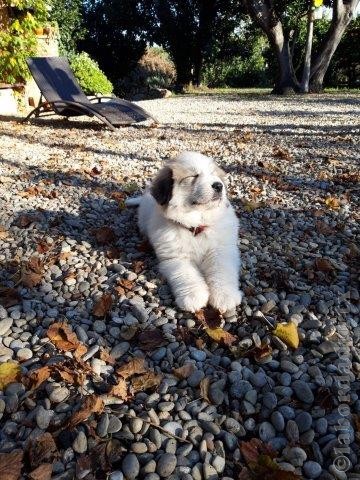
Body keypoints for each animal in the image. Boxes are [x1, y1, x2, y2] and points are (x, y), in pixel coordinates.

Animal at [126, 152, 242, 314]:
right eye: (193, 176)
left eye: (213, 174)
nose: (219, 185)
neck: (196, 227)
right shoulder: (176, 257)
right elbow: (187, 274)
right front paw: (194, 297)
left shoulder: (221, 250)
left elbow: (221, 271)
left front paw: (225, 296)